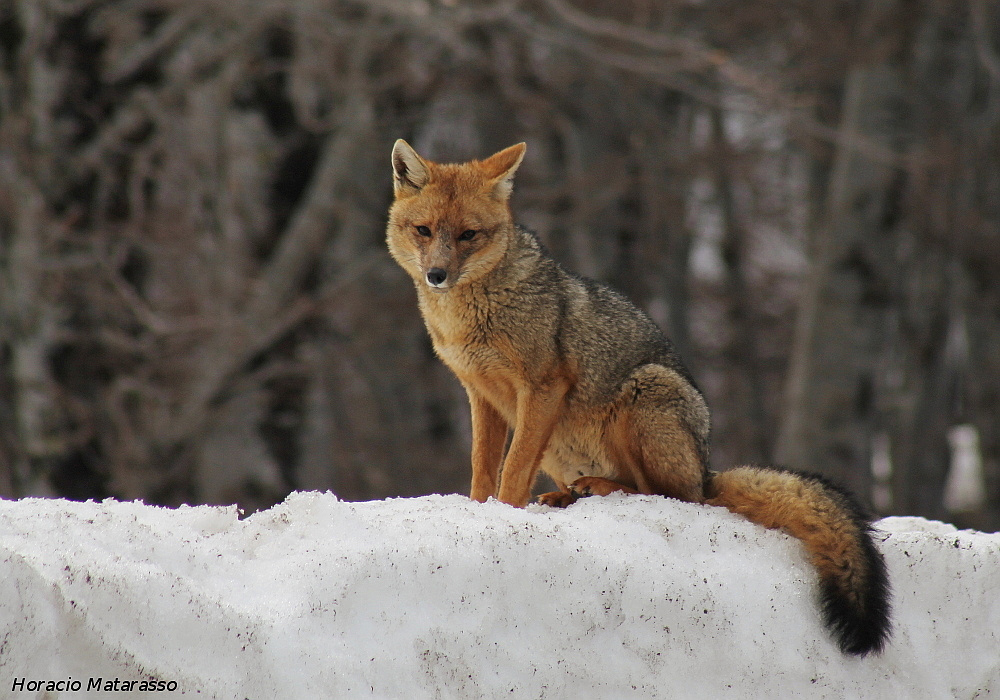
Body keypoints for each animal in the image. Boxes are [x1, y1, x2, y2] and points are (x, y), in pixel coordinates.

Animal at [385, 139, 891, 657]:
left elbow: (512, 467)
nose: (437, 275)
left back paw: (600, 489)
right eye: (424, 231)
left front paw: (504, 516)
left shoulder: (542, 387)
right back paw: (569, 495)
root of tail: (707, 469)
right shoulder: (481, 394)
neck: (467, 319)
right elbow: (483, 467)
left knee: (670, 497)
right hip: (565, 447)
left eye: (469, 235)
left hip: (643, 395)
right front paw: (478, 512)